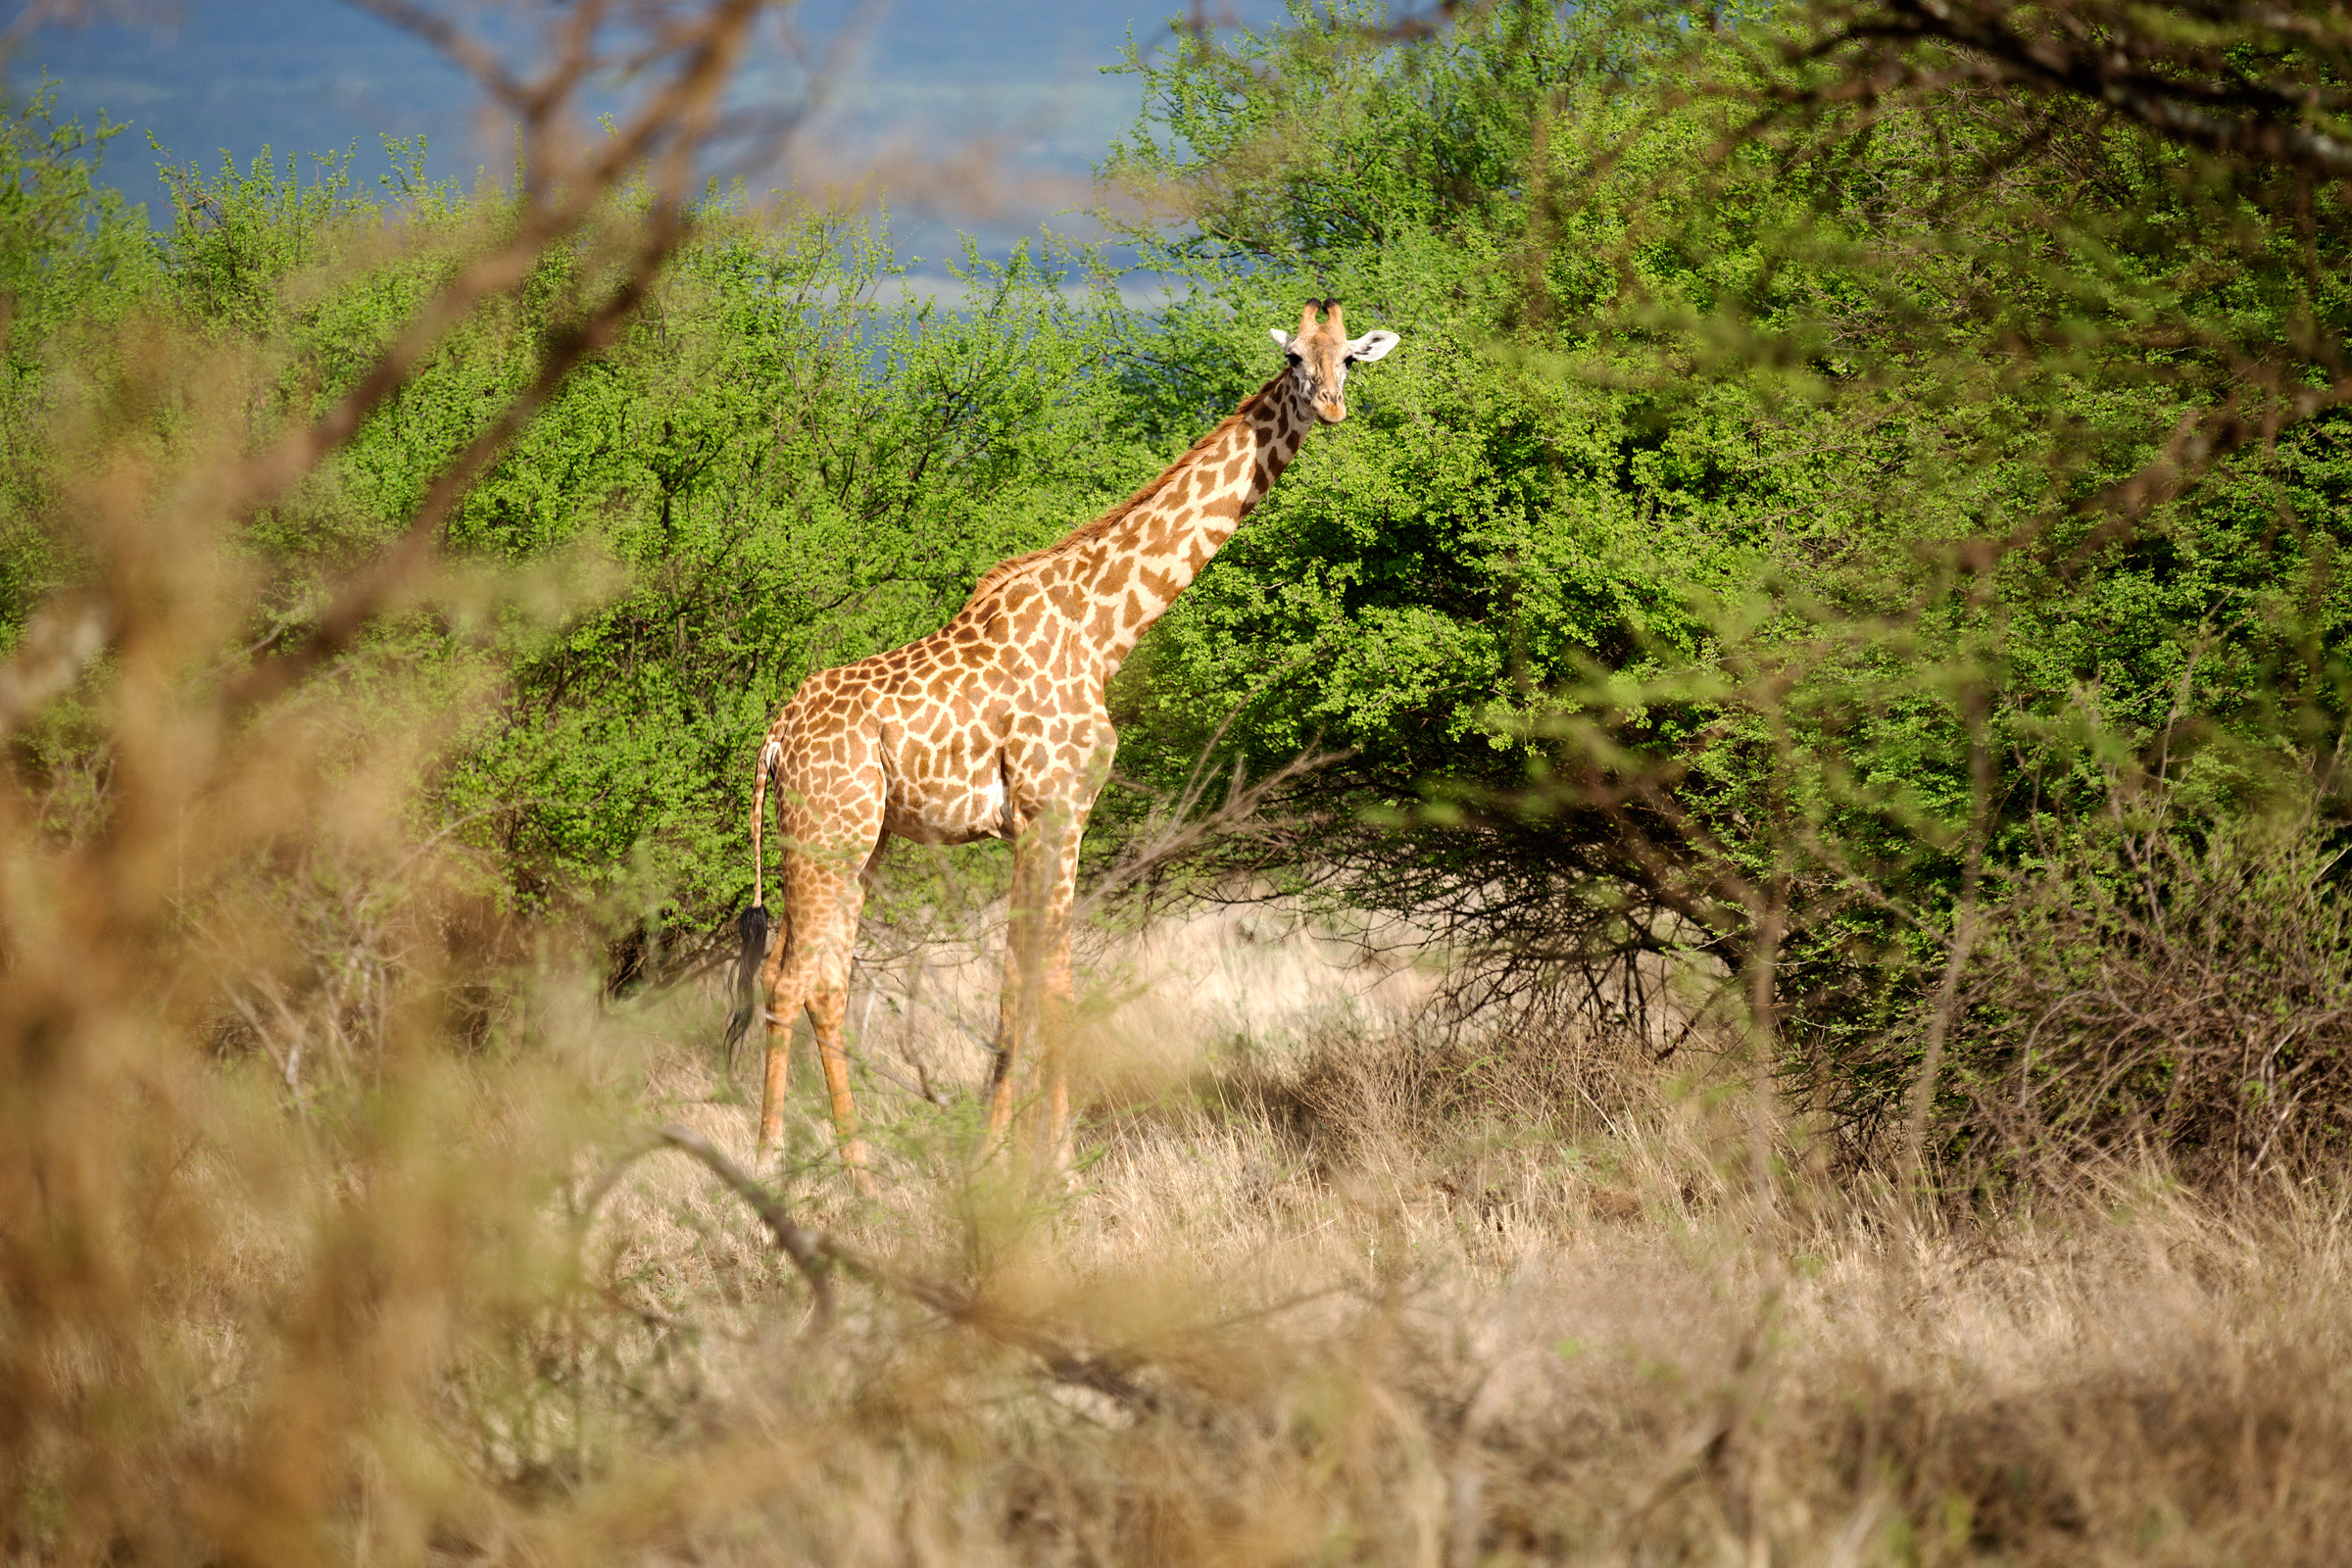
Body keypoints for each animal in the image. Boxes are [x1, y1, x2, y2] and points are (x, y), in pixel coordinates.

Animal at [724, 299, 1400, 1183]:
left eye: (1348, 358)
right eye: (1293, 358)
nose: (1330, 407)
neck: (1105, 629)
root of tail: (772, 738)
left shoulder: (1029, 823)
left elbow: (1017, 980)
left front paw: (996, 1152)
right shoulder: (1059, 810)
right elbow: (1058, 984)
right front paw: (1060, 1161)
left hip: (858, 840)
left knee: (811, 975)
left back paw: (842, 1167)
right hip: (828, 833)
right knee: (797, 978)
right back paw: (792, 1166)